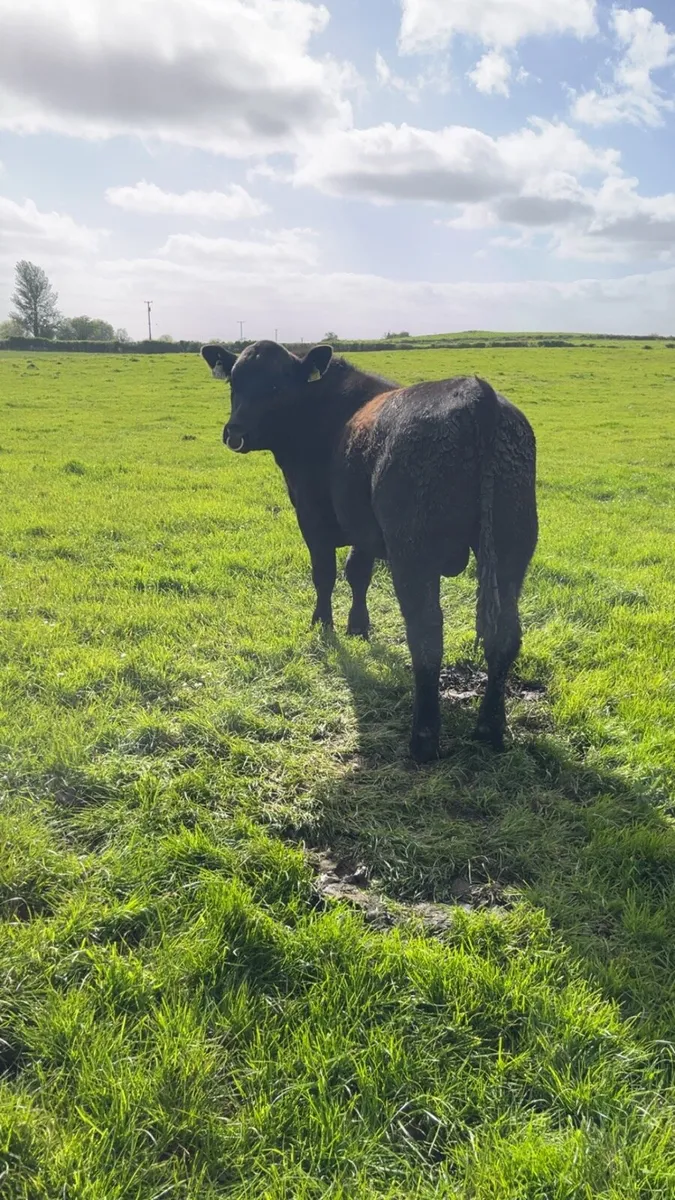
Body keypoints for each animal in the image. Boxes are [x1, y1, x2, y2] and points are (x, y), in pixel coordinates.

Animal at [201, 340, 538, 763]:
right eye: (234, 382)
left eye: (276, 387)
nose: (236, 432)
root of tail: (479, 394)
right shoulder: (363, 532)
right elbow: (357, 573)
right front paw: (358, 627)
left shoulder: (312, 519)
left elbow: (325, 575)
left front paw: (323, 625)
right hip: (512, 544)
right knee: (504, 636)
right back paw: (489, 729)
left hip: (413, 552)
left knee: (426, 636)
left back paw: (423, 740)